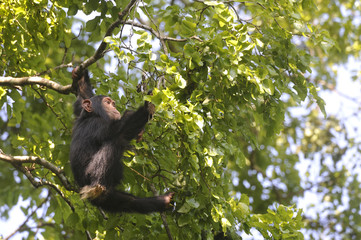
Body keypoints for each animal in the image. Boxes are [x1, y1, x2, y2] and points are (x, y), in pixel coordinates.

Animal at [69, 68, 174, 213]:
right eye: (107, 103)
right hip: (90, 176)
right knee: (117, 140)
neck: (93, 115)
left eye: (113, 103)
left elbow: (84, 98)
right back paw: (97, 187)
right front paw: (149, 105)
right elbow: (121, 130)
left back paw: (163, 201)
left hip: (109, 199)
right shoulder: (99, 124)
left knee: (128, 201)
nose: (114, 107)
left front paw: (80, 79)